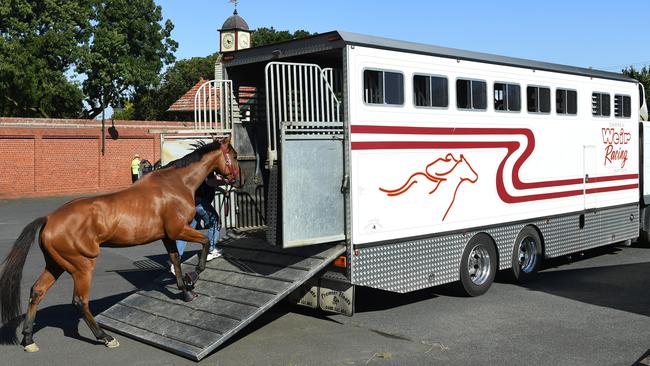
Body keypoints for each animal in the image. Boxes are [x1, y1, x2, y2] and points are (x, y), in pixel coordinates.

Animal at [0, 137, 240, 352]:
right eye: (235, 156)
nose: (238, 178)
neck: (176, 183)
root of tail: (49, 219)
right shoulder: (178, 230)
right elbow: (205, 243)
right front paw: (194, 277)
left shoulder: (167, 236)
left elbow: (176, 260)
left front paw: (186, 290)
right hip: (81, 266)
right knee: (79, 301)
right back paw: (105, 337)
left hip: (56, 264)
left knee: (37, 292)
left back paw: (29, 339)